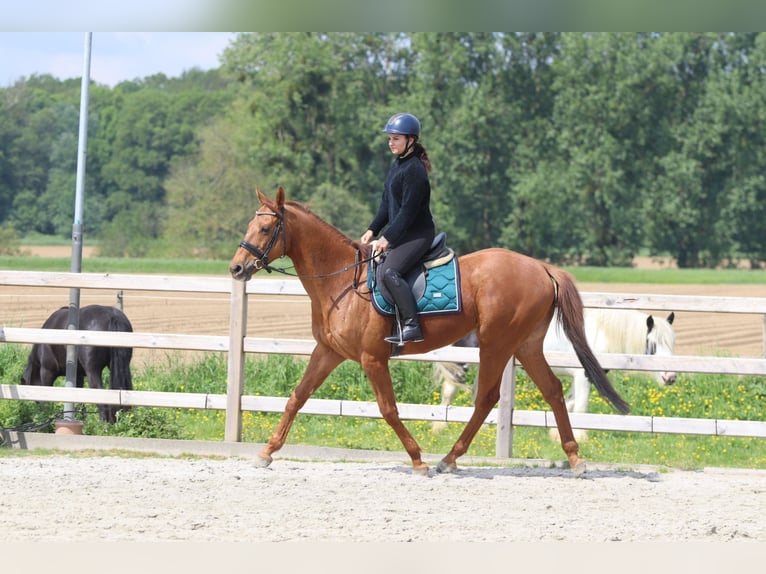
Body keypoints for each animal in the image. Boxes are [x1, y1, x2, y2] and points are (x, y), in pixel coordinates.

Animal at [229, 187, 630, 477]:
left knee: (487, 398)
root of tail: (542, 268)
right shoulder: (328, 352)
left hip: (497, 343)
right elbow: (297, 397)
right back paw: (575, 459)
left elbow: (389, 409)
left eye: (265, 228)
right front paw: (266, 452)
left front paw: (418, 459)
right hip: (526, 345)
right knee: (552, 390)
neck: (342, 281)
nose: (236, 268)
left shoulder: (372, 358)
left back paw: (448, 459)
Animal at [433, 309, 676, 441]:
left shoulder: (581, 378)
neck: (600, 333)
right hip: (462, 361)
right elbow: (581, 407)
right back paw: (440, 426)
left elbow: (568, 403)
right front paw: (582, 436)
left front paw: (556, 434)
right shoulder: (583, 376)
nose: (670, 377)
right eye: (653, 344)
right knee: (450, 389)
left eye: (672, 343)